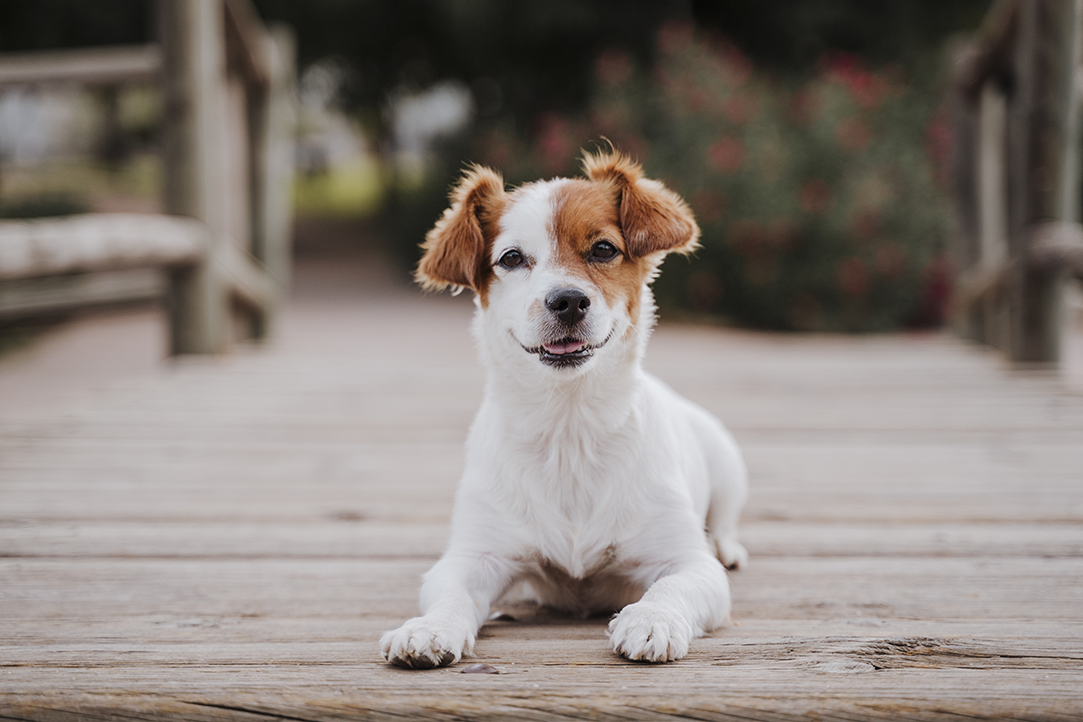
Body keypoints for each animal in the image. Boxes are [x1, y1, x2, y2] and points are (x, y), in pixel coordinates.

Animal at [379, 149, 745, 671]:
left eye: (604, 250)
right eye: (512, 258)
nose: (568, 300)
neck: (569, 430)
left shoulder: (690, 564)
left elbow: (672, 587)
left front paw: (651, 619)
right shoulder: (473, 557)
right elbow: (451, 595)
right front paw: (428, 628)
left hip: (728, 464)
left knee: (727, 522)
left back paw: (729, 546)